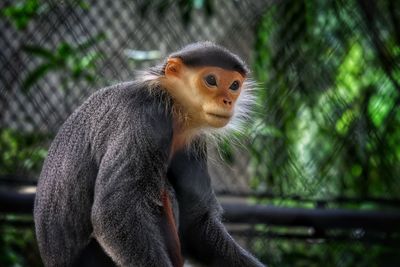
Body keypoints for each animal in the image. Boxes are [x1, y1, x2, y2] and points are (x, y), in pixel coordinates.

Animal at [34, 42, 264, 267]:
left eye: (234, 86)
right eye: (211, 80)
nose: (227, 101)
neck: (170, 103)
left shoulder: (192, 140)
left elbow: (195, 223)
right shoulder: (145, 117)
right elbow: (115, 210)